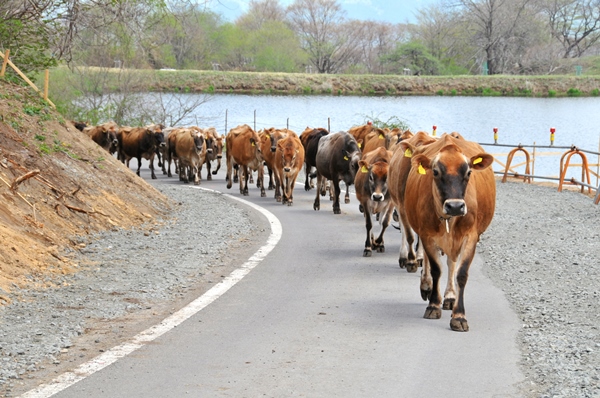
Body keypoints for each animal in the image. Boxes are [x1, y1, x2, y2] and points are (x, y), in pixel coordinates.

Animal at [400, 132, 494, 332]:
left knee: (452, 263)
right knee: (429, 262)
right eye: (435, 172)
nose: (455, 206)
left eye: (468, 172)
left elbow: (461, 273)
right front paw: (433, 305)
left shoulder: (471, 237)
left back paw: (450, 296)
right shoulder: (427, 235)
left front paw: (459, 316)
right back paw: (426, 287)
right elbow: (436, 269)